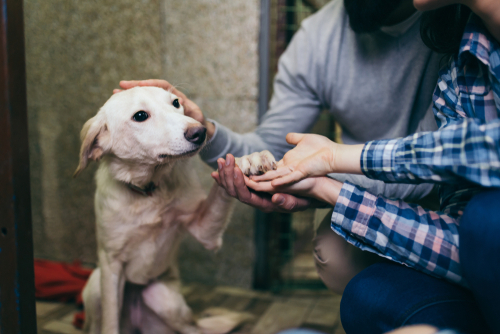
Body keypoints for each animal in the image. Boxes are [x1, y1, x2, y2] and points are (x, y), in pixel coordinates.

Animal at [75, 87, 278, 334]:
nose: (199, 132)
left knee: (194, 329)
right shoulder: (111, 263)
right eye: (140, 116)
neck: (148, 191)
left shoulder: (205, 231)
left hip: (165, 301)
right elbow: (110, 322)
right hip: (96, 284)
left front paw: (246, 160)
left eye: (176, 103)